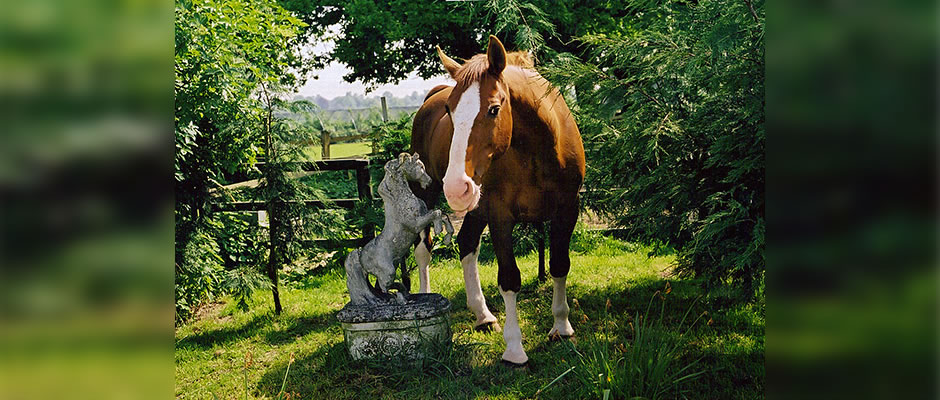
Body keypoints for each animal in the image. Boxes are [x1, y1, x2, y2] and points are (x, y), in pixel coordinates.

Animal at [410, 36, 584, 366]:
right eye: (450, 111)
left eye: (493, 109)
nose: (456, 187)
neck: (538, 149)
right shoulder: (501, 217)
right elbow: (509, 278)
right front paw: (515, 349)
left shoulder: (567, 211)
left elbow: (559, 265)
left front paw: (561, 326)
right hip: (428, 193)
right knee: (424, 249)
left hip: (476, 206)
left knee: (466, 243)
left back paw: (482, 315)